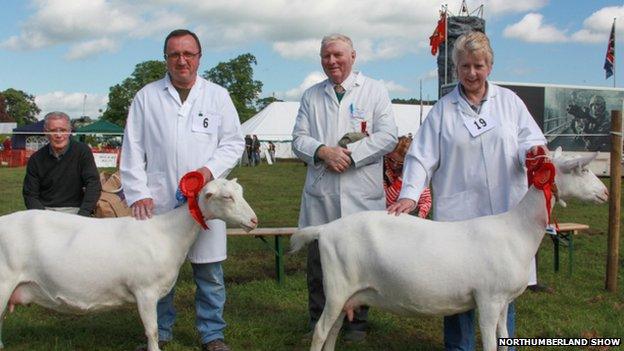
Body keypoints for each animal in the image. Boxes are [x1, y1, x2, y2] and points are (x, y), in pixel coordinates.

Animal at [0, 179, 258, 351]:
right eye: (227, 197)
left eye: (241, 193)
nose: (254, 220)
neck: (168, 233)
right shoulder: (145, 291)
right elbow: (152, 331)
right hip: (3, 283)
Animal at [292, 148, 608, 351]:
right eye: (582, 169)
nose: (605, 193)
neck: (516, 230)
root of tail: (325, 229)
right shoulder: (488, 299)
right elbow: (491, 343)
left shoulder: (504, 300)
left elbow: (504, 338)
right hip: (337, 287)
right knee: (320, 330)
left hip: (348, 294)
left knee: (333, 330)